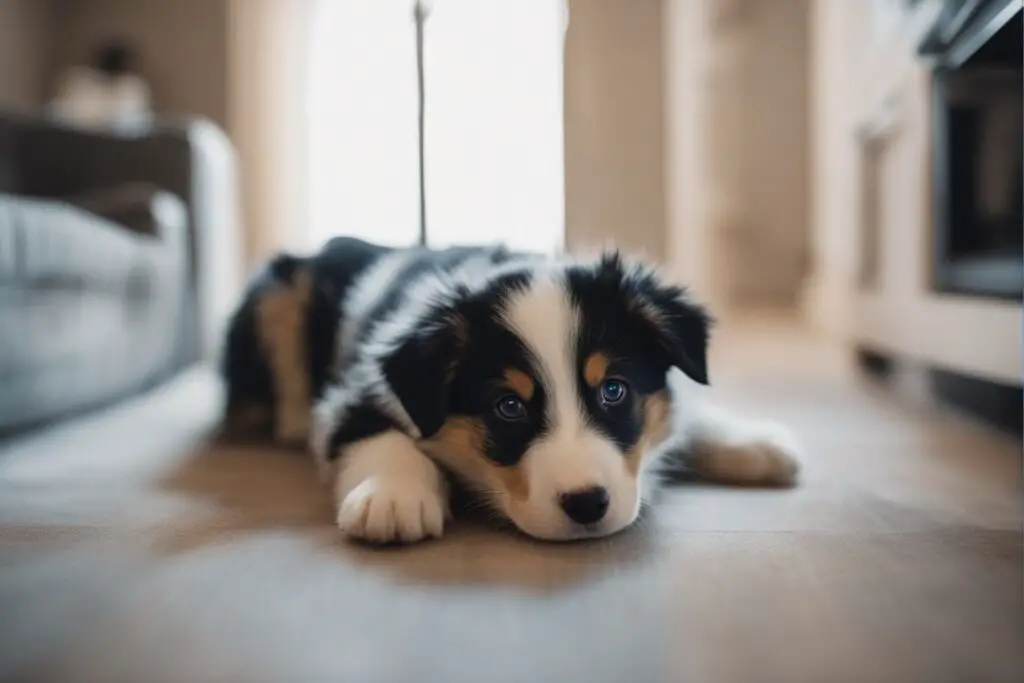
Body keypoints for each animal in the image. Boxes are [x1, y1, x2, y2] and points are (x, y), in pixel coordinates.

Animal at [222, 239, 798, 544]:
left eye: (613, 390)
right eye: (509, 406)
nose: (587, 504)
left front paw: (755, 444)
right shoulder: (356, 389)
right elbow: (378, 436)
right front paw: (393, 497)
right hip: (278, 292)